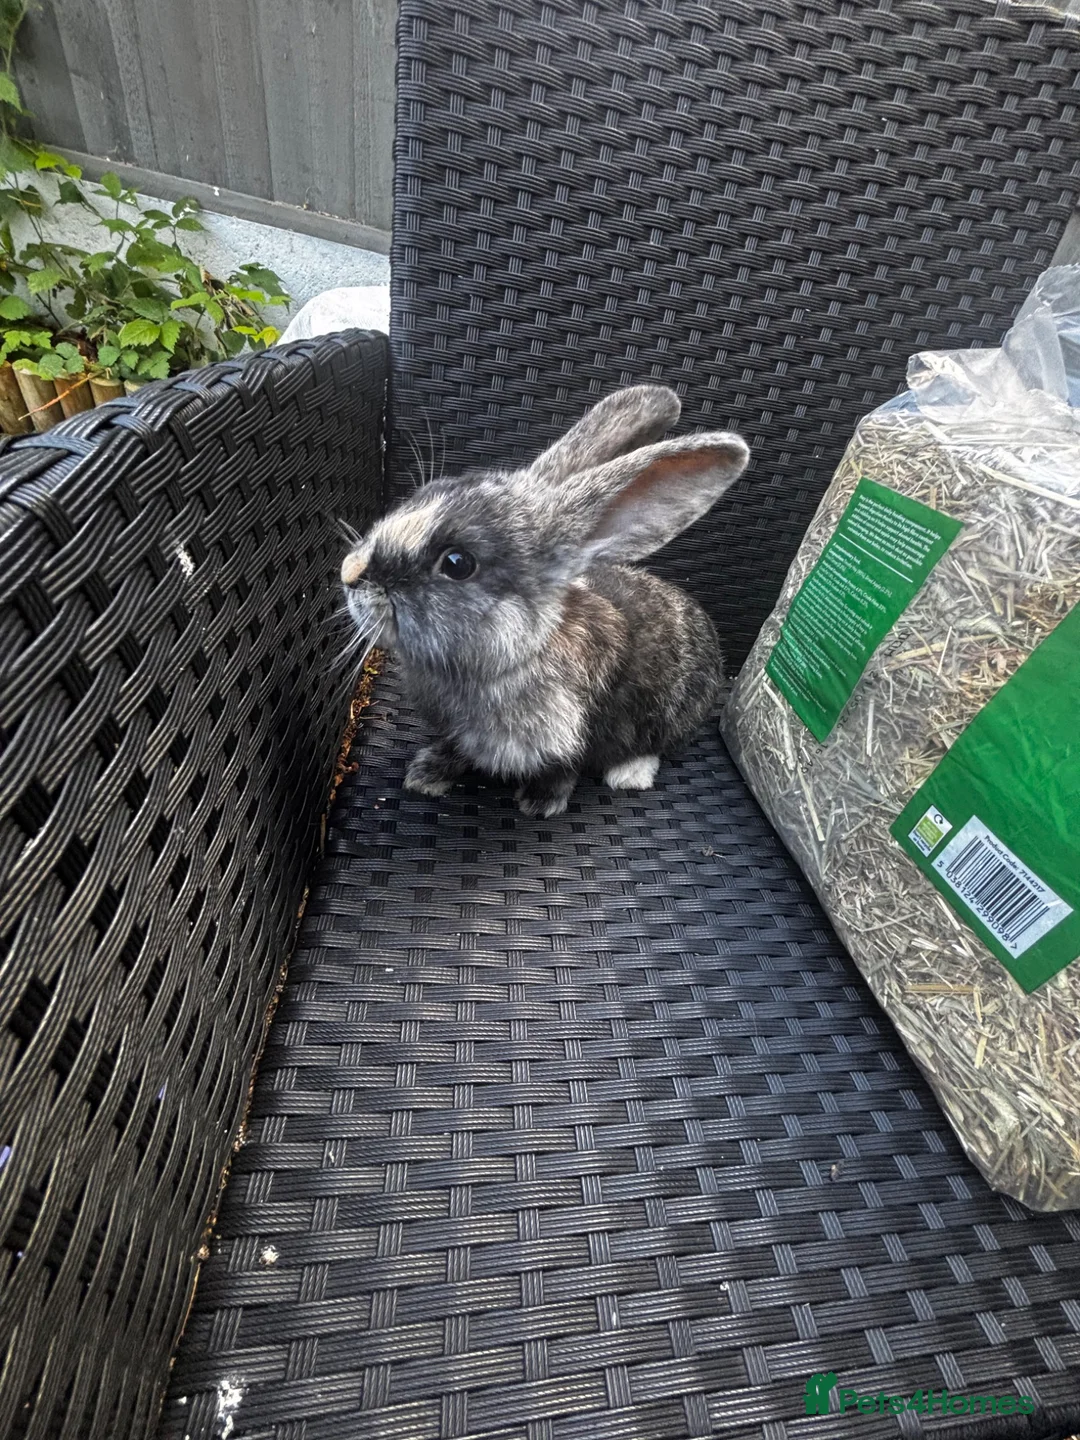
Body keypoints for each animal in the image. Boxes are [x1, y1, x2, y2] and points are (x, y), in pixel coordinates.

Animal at [340, 384, 750, 817]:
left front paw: (539, 803)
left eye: (457, 563)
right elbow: (454, 749)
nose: (349, 572)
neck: (513, 654)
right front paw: (426, 775)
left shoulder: (573, 736)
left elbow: (563, 769)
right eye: (423, 494)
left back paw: (629, 775)